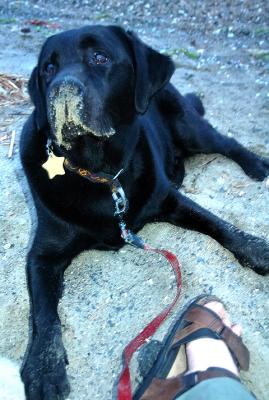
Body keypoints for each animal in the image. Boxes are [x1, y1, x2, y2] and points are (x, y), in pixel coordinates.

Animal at [19, 25, 266, 396]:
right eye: (49, 68)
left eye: (100, 57)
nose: (62, 88)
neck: (102, 174)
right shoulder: (43, 255)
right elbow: (45, 316)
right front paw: (44, 370)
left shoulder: (169, 200)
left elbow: (218, 224)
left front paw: (256, 247)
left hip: (191, 129)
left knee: (227, 143)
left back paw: (256, 165)